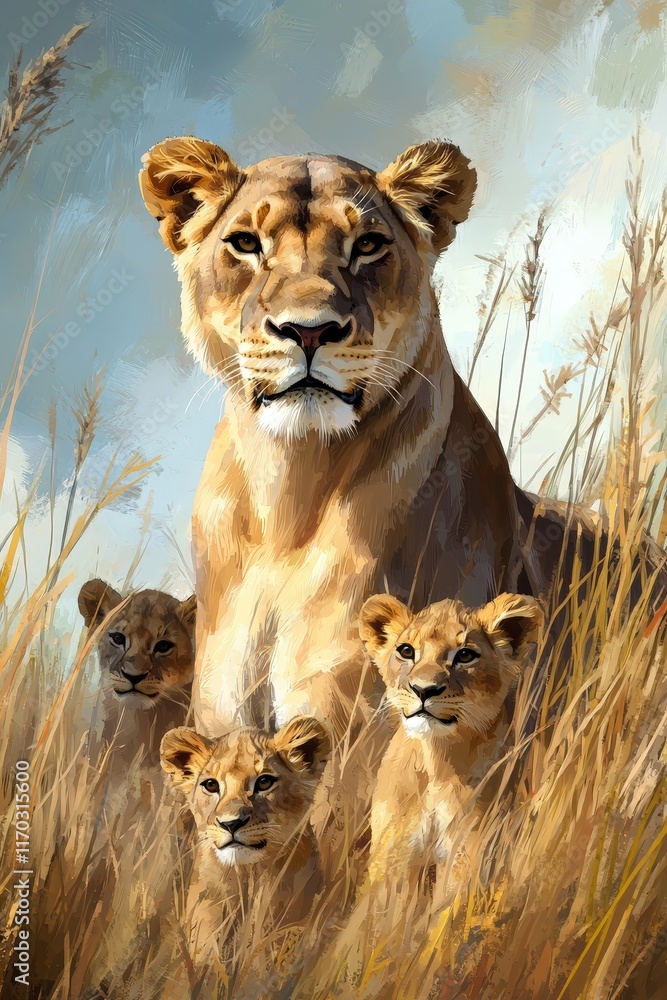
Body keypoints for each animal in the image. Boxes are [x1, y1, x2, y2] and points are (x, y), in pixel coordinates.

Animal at [358, 590, 543, 888]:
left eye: (465, 655)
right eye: (406, 651)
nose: (423, 690)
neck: (436, 763)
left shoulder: (470, 853)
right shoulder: (392, 852)